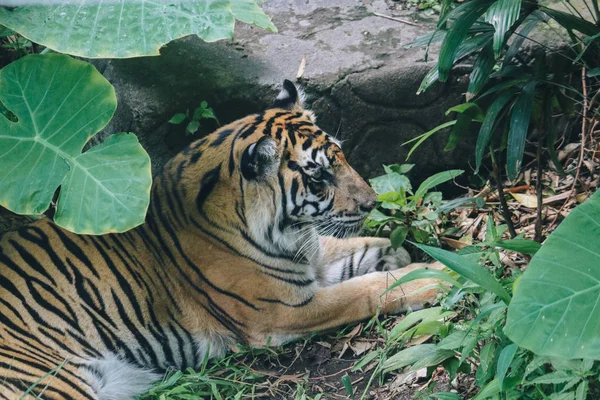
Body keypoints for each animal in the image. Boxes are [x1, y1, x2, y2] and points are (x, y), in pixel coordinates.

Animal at [0, 79, 442, 398]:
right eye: (318, 177)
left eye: (342, 156)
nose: (371, 203)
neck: (286, 232)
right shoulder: (284, 310)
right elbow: (367, 290)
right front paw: (432, 279)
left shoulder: (311, 258)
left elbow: (364, 250)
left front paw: (413, 255)